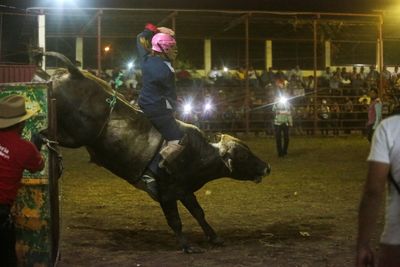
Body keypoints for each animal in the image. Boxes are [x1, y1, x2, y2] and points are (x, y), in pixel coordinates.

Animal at [40, 51, 272, 253]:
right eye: (243, 156)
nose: (267, 167)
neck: (199, 155)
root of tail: (75, 73)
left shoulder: (184, 190)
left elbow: (199, 213)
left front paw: (214, 237)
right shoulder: (167, 193)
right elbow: (175, 221)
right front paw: (187, 246)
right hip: (77, 136)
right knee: (50, 134)